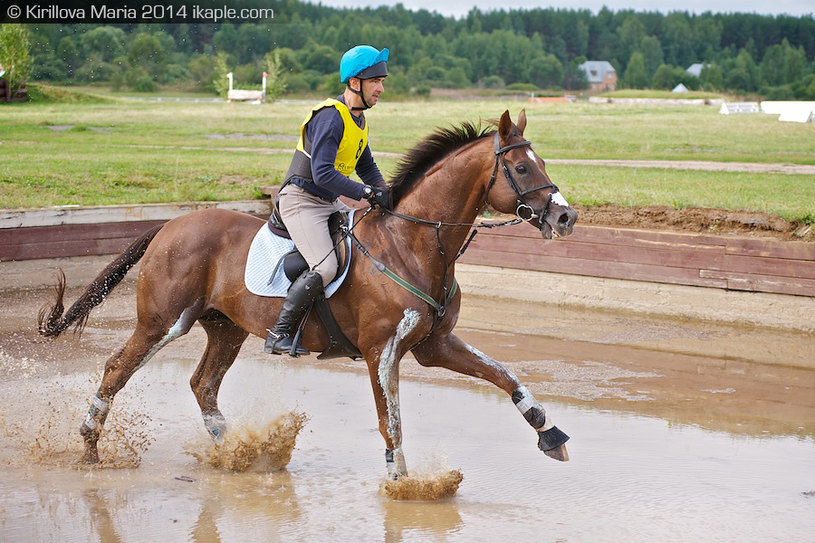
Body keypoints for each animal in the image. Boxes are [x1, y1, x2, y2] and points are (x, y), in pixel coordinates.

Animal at [38, 110, 580, 480]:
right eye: (522, 169)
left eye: (541, 162)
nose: (566, 216)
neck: (413, 243)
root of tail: (169, 225)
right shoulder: (381, 352)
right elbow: (391, 422)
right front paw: (403, 485)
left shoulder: (434, 345)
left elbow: (504, 375)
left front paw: (549, 434)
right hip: (164, 322)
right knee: (117, 368)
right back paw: (90, 447)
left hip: (225, 327)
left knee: (203, 384)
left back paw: (239, 452)